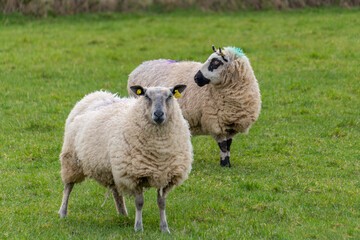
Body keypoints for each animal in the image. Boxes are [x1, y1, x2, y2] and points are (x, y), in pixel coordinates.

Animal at [56, 85, 193, 233]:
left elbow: (161, 203)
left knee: (116, 191)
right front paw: (138, 227)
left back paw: (122, 214)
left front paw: (164, 228)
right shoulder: (134, 175)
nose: (158, 114)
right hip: (71, 159)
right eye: (146, 96)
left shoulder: (166, 176)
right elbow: (139, 202)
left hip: (113, 167)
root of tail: (96, 94)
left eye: (170, 96)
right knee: (68, 187)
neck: (159, 151)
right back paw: (63, 212)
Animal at [128, 46, 260, 168]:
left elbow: (228, 144)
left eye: (216, 62)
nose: (196, 78)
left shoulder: (231, 123)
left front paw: (228, 164)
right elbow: (222, 145)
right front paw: (224, 164)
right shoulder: (215, 122)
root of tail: (141, 65)